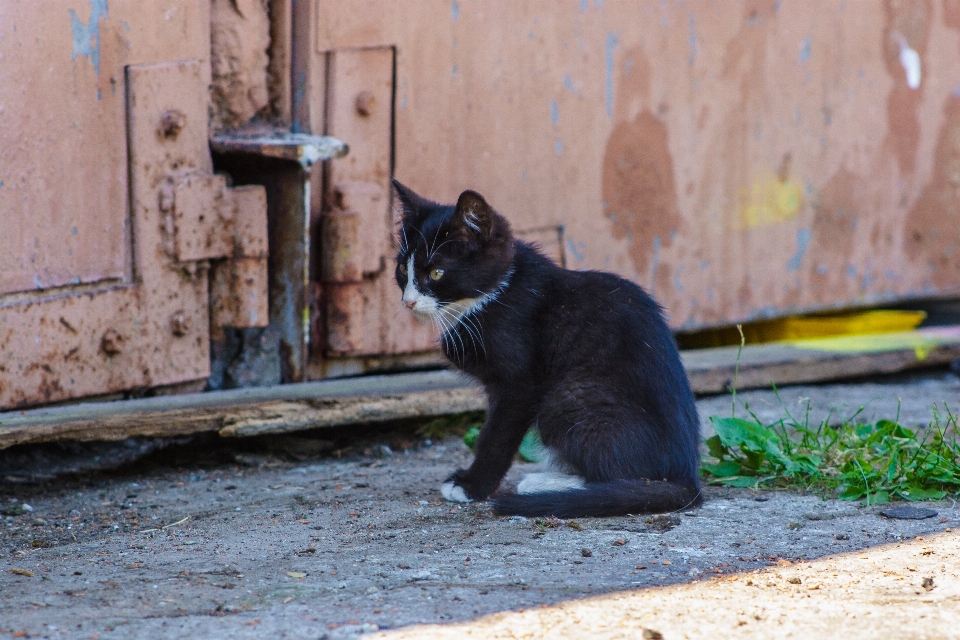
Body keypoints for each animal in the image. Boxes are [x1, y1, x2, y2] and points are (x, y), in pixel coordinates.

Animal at [394, 181, 700, 520]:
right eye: (402, 269)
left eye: (436, 273)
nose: (408, 302)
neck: (489, 297)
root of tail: (685, 476)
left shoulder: (521, 383)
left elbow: (496, 436)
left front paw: (471, 486)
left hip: (565, 396)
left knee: (622, 476)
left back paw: (546, 484)